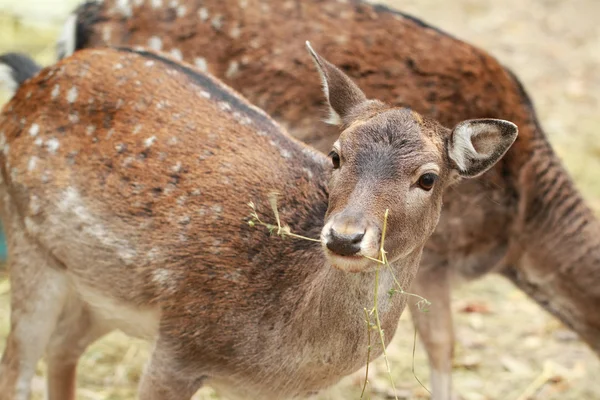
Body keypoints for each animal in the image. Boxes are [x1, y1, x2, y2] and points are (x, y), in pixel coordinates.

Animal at [0, 41, 516, 400]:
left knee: (64, 346)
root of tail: (34, 78)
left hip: (100, 288)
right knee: (18, 367)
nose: (345, 237)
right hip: (28, 240)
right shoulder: (179, 343)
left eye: (428, 178)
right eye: (335, 155)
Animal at [55, 1, 600, 398]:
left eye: (428, 179)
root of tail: (82, 19)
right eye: (333, 155)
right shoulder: (437, 259)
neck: (522, 227)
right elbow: (443, 347)